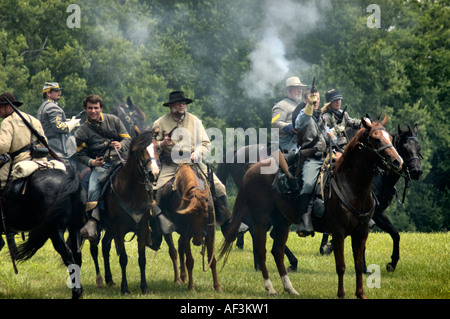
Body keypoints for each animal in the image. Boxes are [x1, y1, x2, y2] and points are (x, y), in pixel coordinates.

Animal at [93, 130, 160, 296]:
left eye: (158, 148)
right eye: (140, 150)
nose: (154, 173)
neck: (132, 191)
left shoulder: (142, 228)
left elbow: (142, 259)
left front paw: (144, 287)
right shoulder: (119, 230)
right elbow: (123, 258)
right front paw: (125, 288)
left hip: (109, 230)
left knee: (104, 247)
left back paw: (109, 279)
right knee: (93, 249)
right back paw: (99, 280)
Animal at [160, 164, 221, 294]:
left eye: (206, 216)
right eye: (189, 215)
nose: (197, 240)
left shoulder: (210, 233)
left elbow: (212, 260)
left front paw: (217, 286)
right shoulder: (187, 233)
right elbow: (189, 261)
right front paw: (191, 287)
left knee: (180, 246)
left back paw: (183, 276)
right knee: (173, 252)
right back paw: (177, 279)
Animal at [221, 116, 404, 298]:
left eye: (390, 137)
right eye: (375, 139)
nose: (397, 161)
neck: (351, 187)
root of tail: (252, 169)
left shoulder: (361, 232)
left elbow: (358, 264)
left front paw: (360, 294)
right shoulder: (338, 232)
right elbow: (341, 265)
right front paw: (341, 294)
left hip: (282, 221)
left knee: (277, 251)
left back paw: (289, 288)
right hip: (261, 219)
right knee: (261, 249)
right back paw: (270, 287)